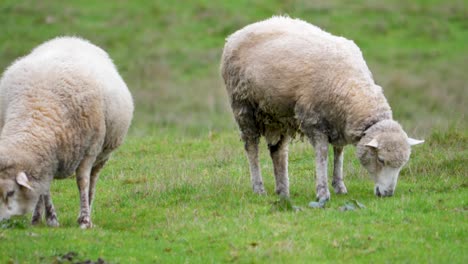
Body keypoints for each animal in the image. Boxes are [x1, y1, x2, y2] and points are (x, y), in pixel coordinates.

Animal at [0, 36, 133, 228]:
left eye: (10, 192)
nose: (1, 222)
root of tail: (72, 38)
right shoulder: (47, 159)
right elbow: (44, 189)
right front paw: (50, 219)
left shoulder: (89, 150)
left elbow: (82, 183)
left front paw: (84, 220)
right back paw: (37, 218)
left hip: (102, 155)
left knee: (92, 181)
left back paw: (88, 208)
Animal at [221, 15, 422, 203]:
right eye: (381, 159)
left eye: (402, 164)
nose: (388, 194)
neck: (351, 84)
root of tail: (238, 33)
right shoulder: (313, 121)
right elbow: (323, 154)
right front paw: (323, 192)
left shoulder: (339, 122)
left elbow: (339, 152)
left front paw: (339, 186)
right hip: (243, 105)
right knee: (251, 146)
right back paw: (259, 188)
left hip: (277, 113)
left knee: (278, 151)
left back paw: (283, 190)